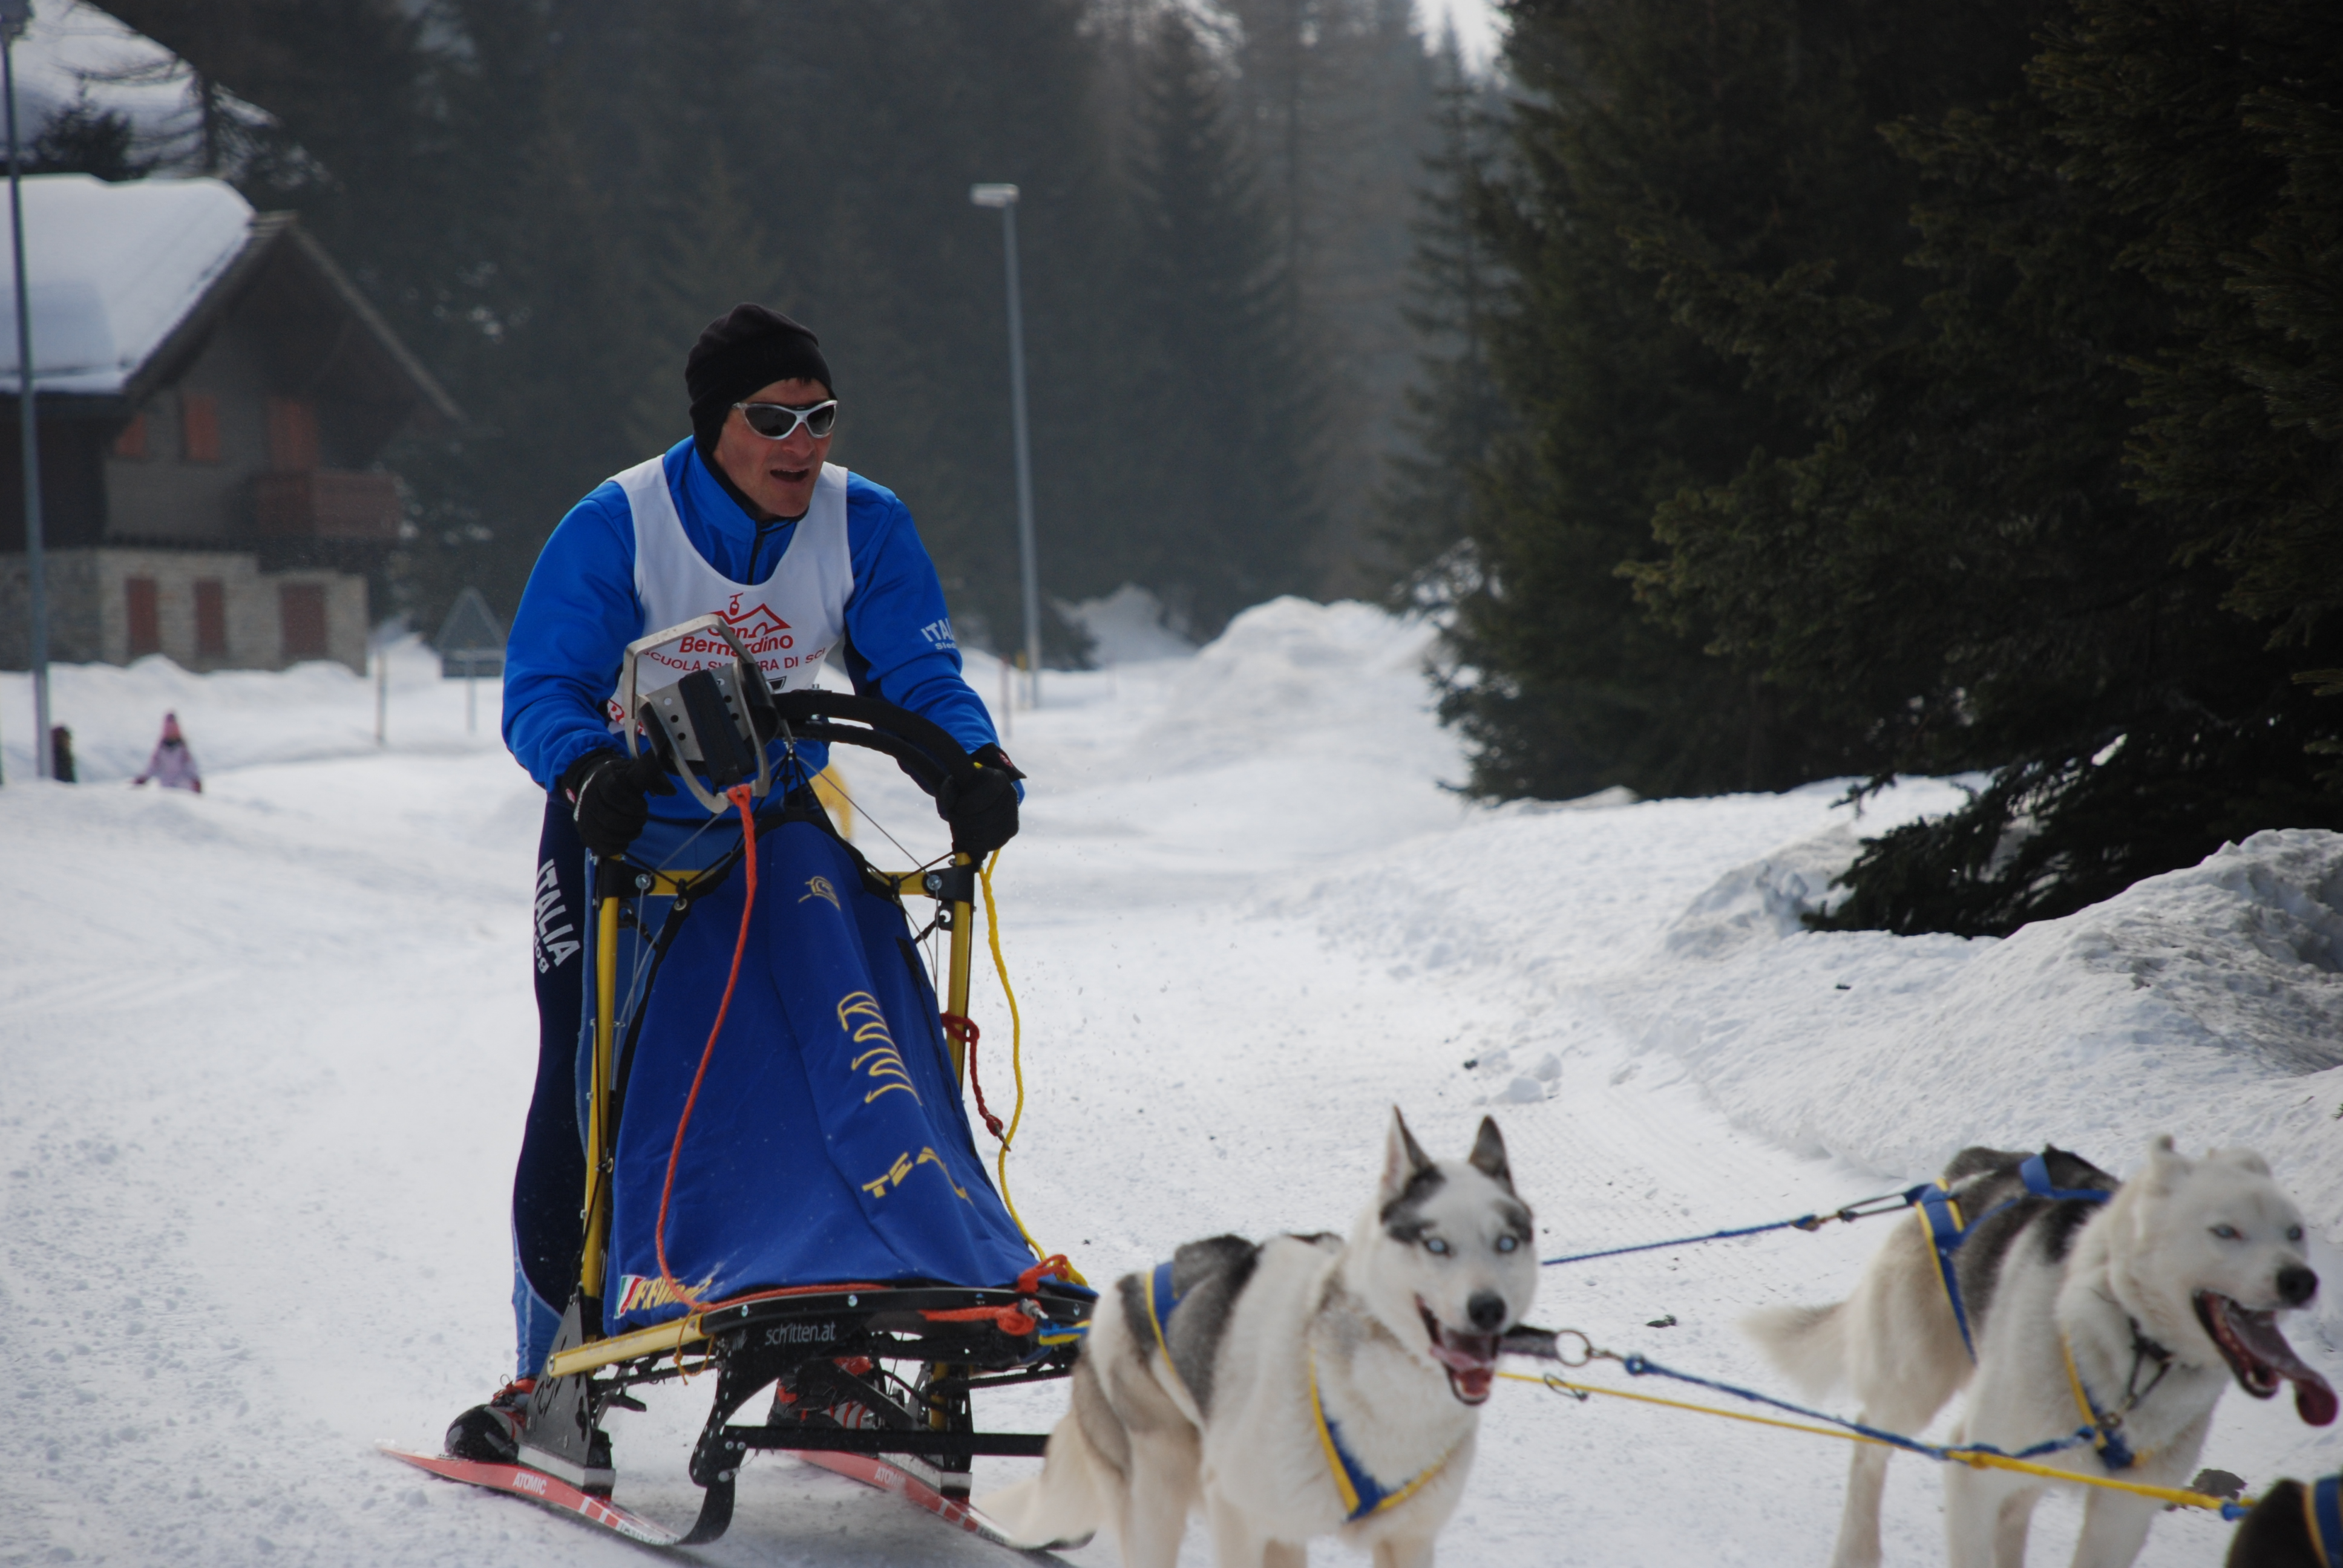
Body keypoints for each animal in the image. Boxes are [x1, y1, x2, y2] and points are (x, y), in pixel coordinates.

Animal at [978, 1109, 1537, 1567]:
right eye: (1436, 1244)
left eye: (1507, 1243)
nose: (1488, 1308)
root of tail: (1109, 1303)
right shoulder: (1239, 1513)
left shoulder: (1406, 1538)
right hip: (1158, 1494)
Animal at [1747, 1137, 2334, 1568]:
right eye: (2225, 1231)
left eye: (2294, 1233)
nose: (2301, 1281)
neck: (2130, 1355)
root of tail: (1973, 1166)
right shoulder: (1974, 1467)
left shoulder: (2123, 1511)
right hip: (1918, 1383)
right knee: (1870, 1445)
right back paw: (1858, 1550)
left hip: (2046, 1456)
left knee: (2013, 1515)